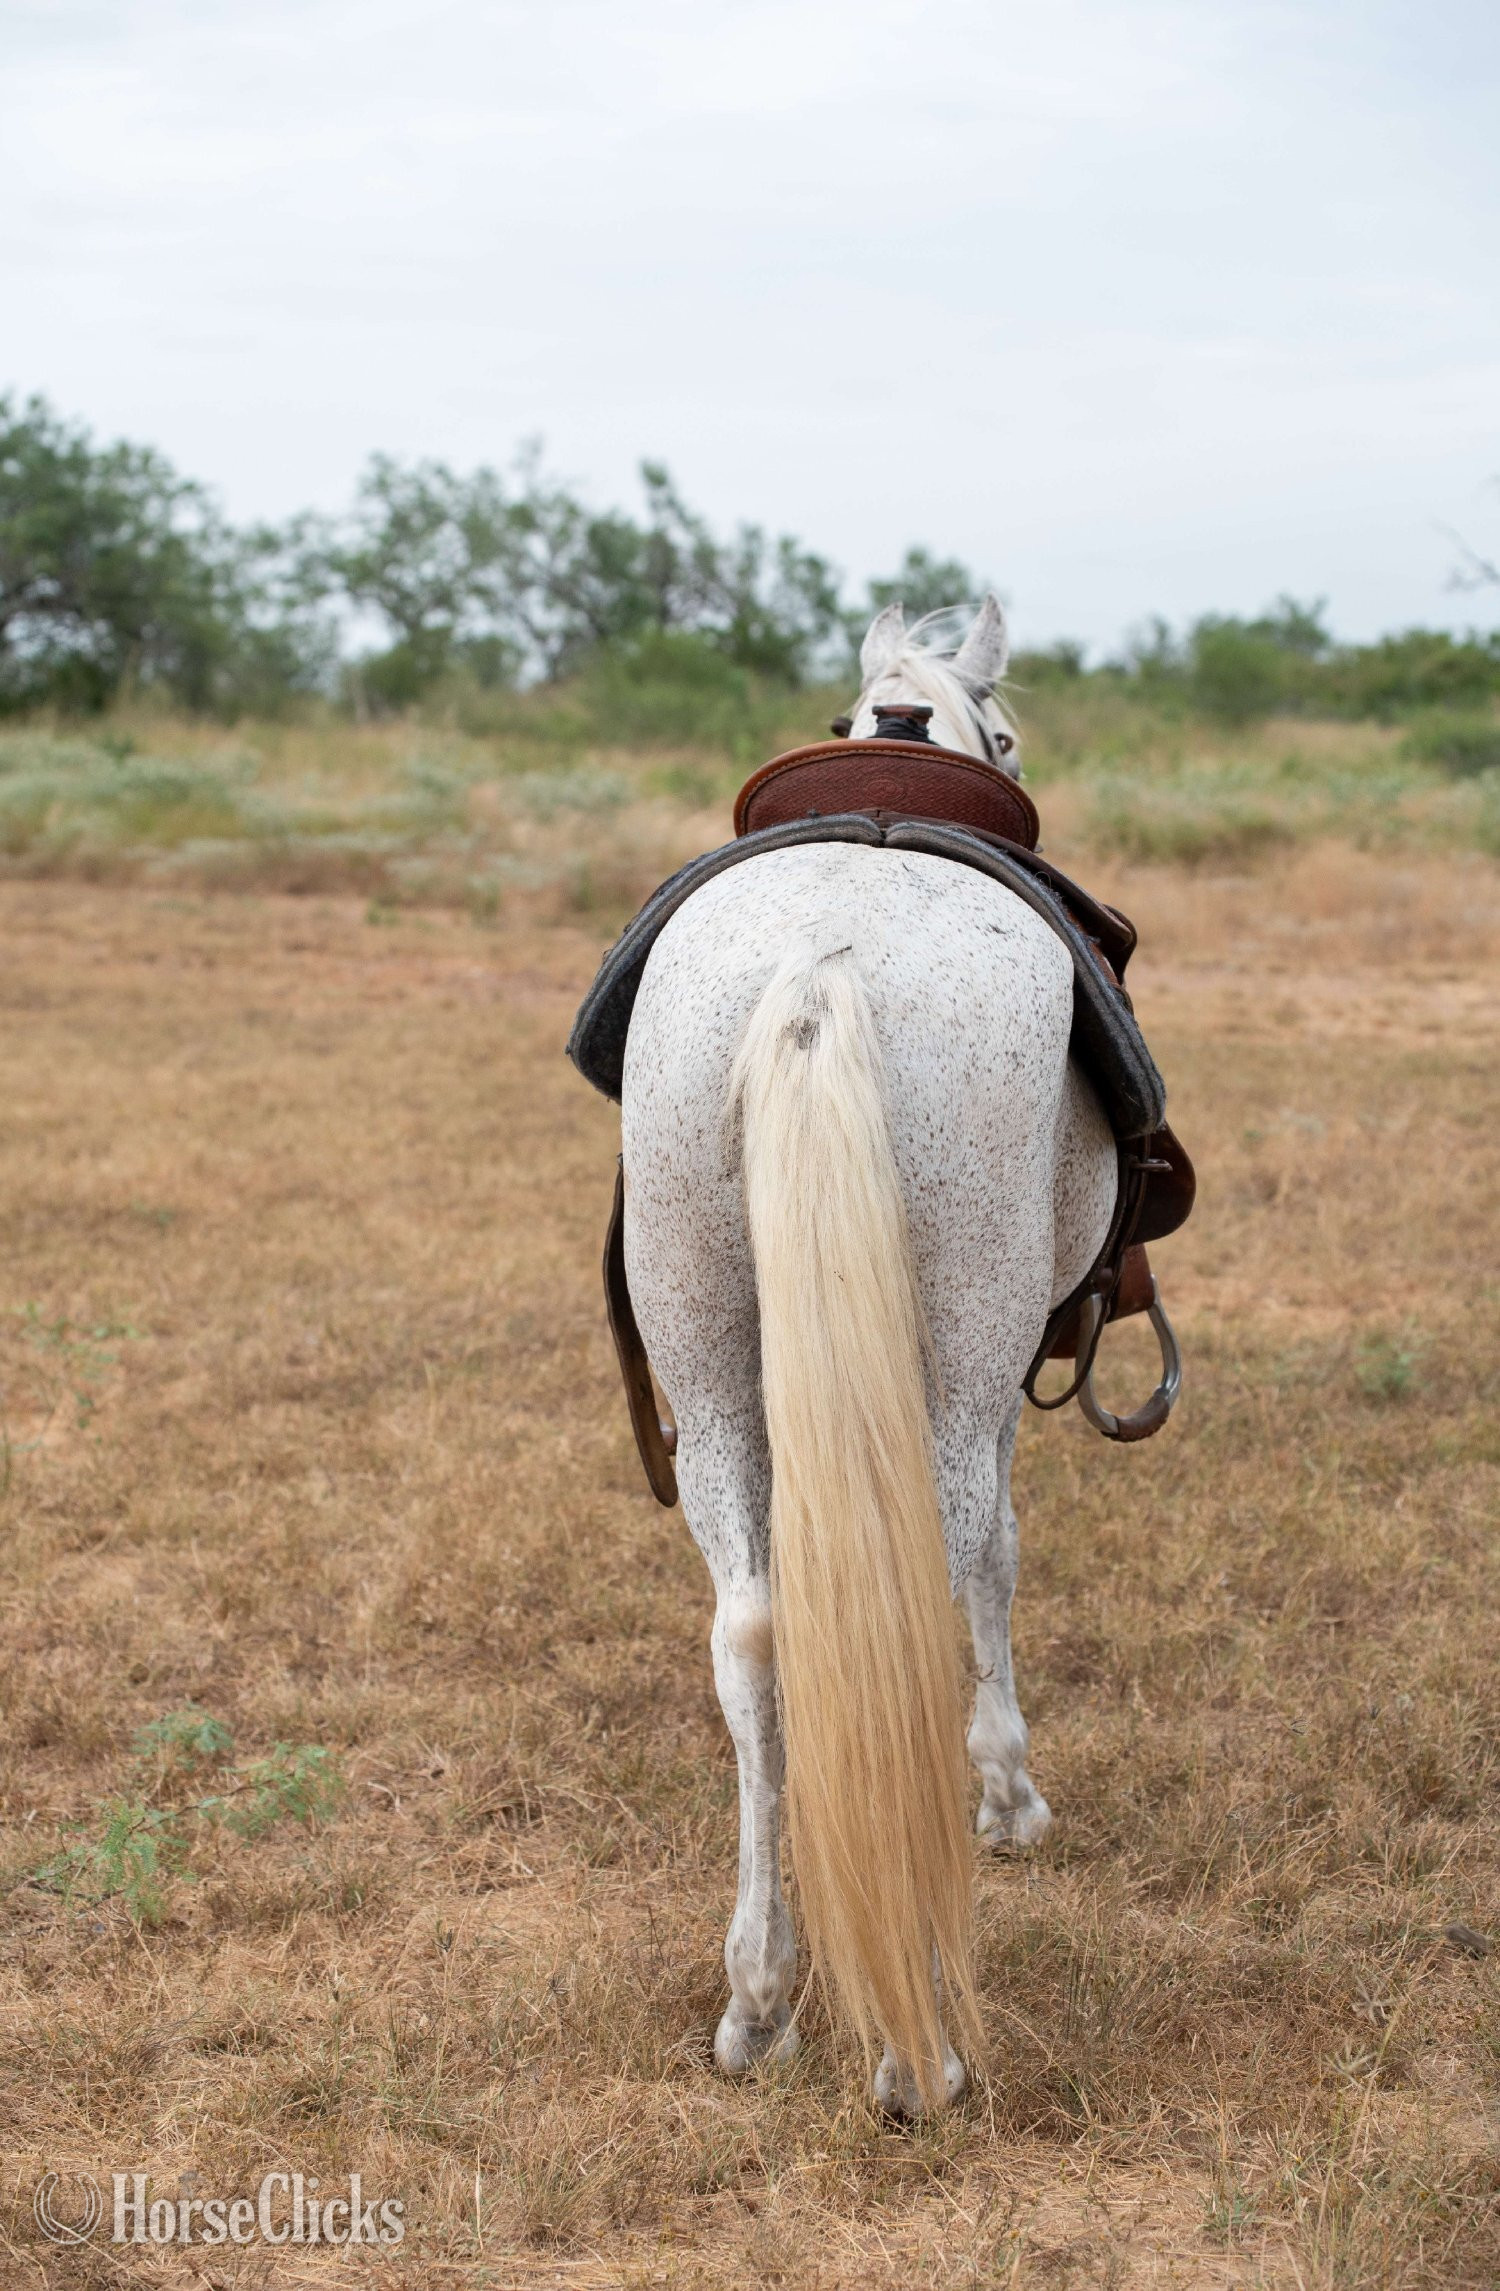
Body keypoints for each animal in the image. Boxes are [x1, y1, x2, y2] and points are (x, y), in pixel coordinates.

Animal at [618, 595, 1117, 2113]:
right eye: (1003, 732)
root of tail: (825, 957)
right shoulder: (996, 1381)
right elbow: (998, 1556)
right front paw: (1007, 1794)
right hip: (954, 1352)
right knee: (932, 1576)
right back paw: (920, 2040)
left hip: (705, 1352)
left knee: (753, 1628)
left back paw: (761, 1994)